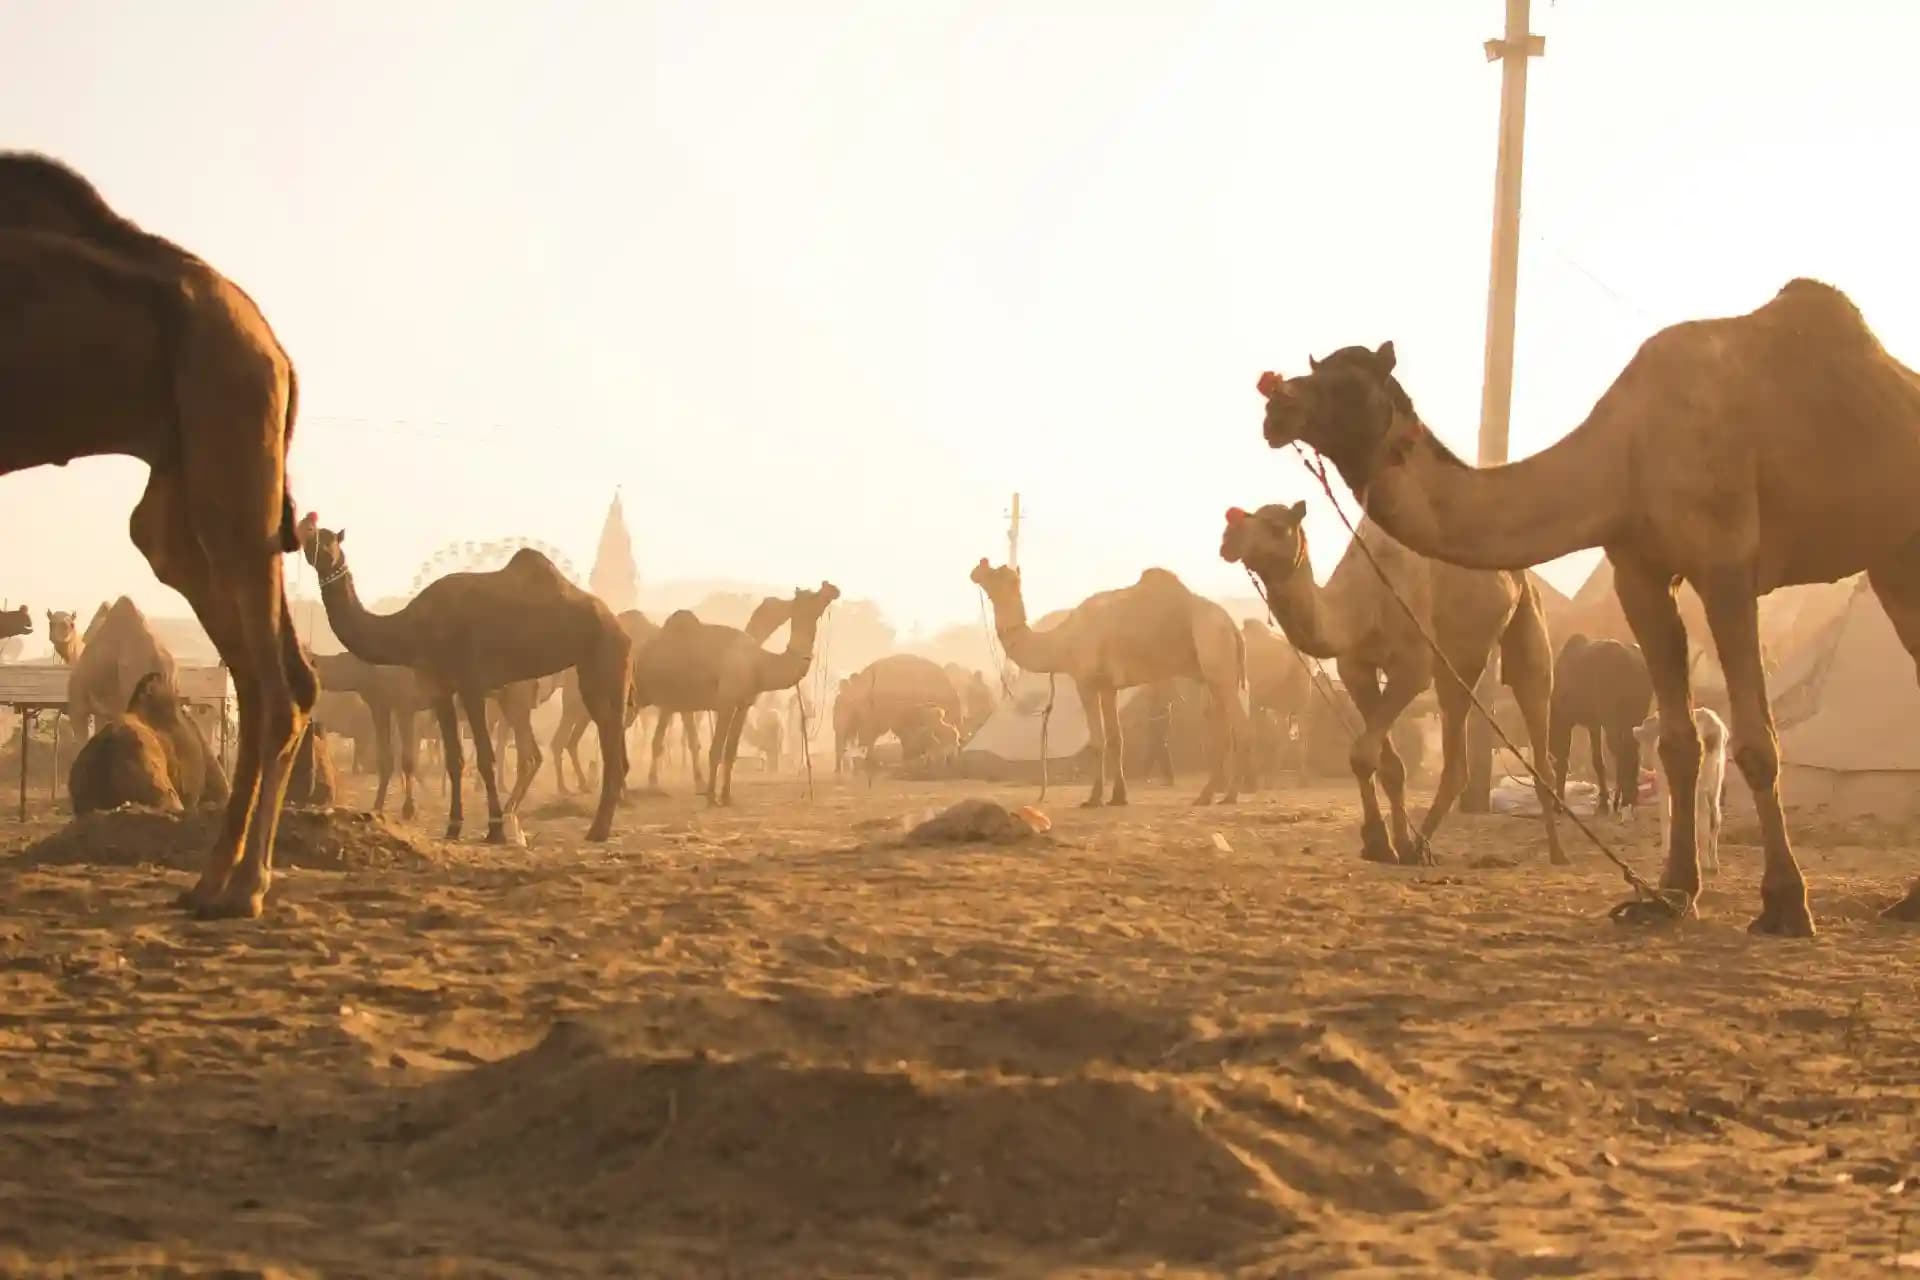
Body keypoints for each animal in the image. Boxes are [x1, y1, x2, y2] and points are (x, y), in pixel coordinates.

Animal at [299, 519, 631, 843]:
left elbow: (485, 757)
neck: (411, 628)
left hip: (604, 660)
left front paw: (494, 828)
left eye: (328, 539)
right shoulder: (440, 689)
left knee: (604, 744)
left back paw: (593, 829)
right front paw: (454, 825)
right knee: (581, 748)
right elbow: (454, 758)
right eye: (308, 529)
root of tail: (617, 623)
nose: (307, 533)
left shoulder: (470, 683)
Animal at [634, 584, 840, 805]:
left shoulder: (743, 704)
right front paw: (711, 798)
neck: (758, 664)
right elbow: (715, 749)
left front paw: (726, 796)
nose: (831, 587)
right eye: (813, 595)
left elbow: (730, 751)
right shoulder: (725, 703)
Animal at [969, 560, 1251, 807]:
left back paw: (1230, 795)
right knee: (1221, 730)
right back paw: (1206, 795)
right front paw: (1118, 797)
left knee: (1240, 728)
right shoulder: (1108, 687)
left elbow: (1097, 740)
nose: (977, 568)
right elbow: (1116, 739)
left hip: (1218, 659)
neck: (1062, 642)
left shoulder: (1086, 682)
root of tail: (1232, 625)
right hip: (1213, 676)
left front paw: (1093, 798)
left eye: (996, 572)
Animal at [1220, 502, 1564, 865]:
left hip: (1523, 614)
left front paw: (1378, 841)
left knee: (1533, 698)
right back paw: (1419, 847)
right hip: (1455, 659)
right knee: (1457, 751)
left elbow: (1363, 754)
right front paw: (1390, 844)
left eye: (1276, 527)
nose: (1229, 537)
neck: (1363, 599)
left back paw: (1556, 852)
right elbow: (1384, 763)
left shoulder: (1412, 668)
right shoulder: (1355, 667)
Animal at [1548, 634, 1653, 815]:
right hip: (1634, 718)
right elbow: (1597, 761)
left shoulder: (1566, 720)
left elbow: (1563, 760)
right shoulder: (1594, 724)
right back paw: (1630, 797)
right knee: (1633, 752)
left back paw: (1622, 799)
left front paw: (1558, 804)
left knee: (1623, 753)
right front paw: (1603, 800)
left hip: (1613, 720)